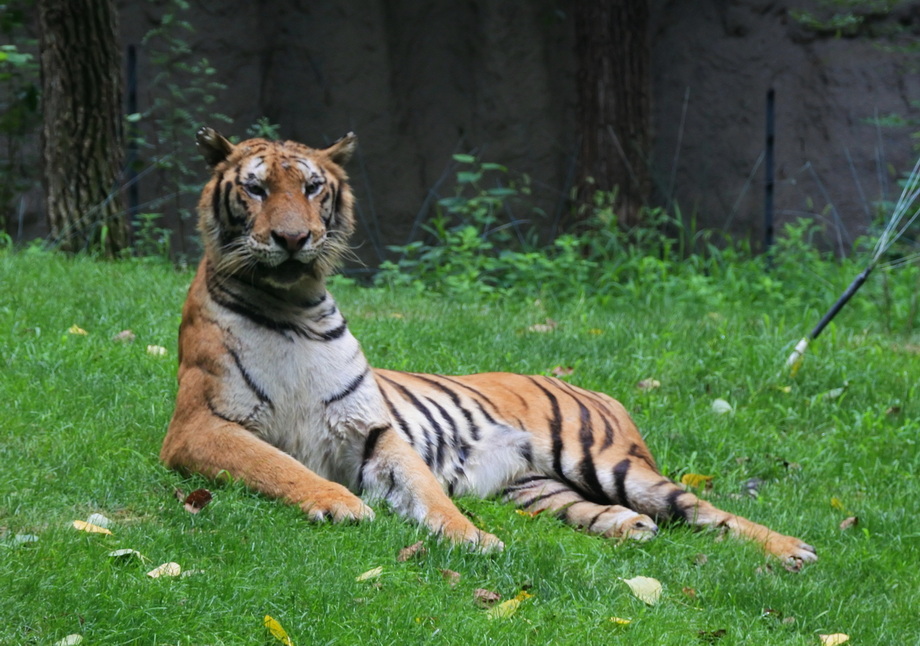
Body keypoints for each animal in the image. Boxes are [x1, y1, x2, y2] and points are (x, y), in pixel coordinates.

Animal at [160, 129, 820, 568]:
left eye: (312, 187)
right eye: (256, 189)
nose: (294, 239)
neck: (293, 302)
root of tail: (593, 386)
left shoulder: (373, 430)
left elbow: (426, 491)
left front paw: (471, 538)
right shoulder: (199, 425)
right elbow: (277, 464)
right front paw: (340, 504)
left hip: (607, 461)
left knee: (703, 510)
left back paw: (793, 550)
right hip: (541, 489)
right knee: (625, 514)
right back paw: (631, 528)